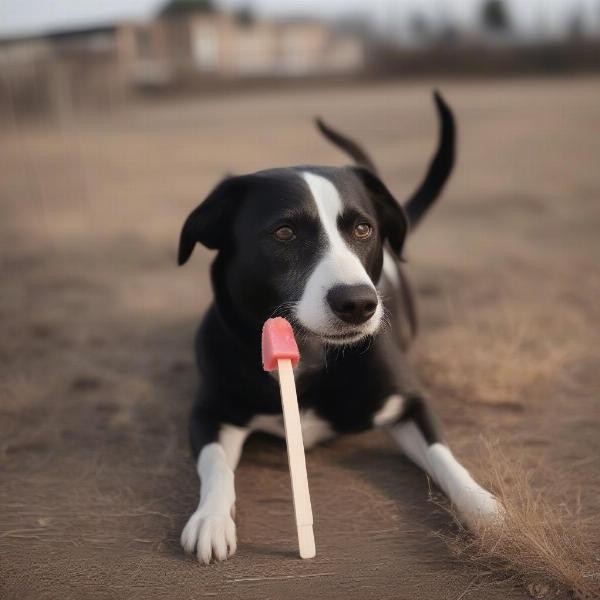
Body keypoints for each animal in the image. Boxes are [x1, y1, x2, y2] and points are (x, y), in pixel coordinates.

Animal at [177, 91, 502, 564]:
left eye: (364, 228)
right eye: (284, 232)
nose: (358, 304)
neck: (311, 360)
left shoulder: (409, 402)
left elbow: (445, 455)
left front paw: (482, 507)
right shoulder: (211, 411)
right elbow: (215, 463)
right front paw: (211, 520)